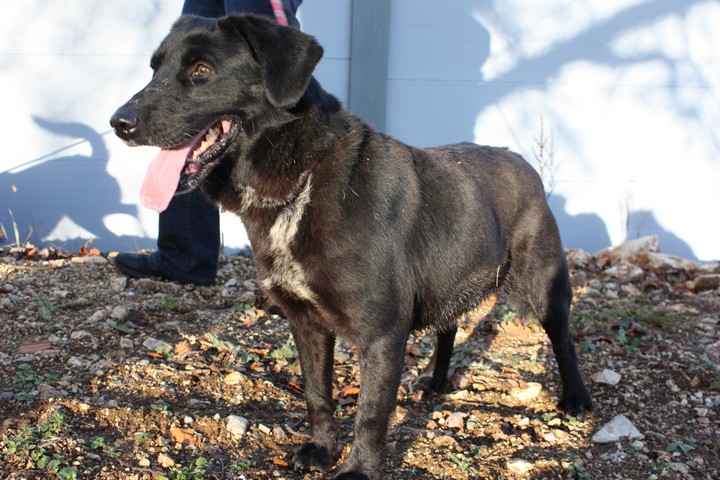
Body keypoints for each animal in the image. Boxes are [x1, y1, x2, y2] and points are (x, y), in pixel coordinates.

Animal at [111, 15, 592, 480]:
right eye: (154, 69)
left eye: (201, 71)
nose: (118, 122)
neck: (301, 182)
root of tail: (522, 161)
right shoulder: (306, 323)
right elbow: (318, 397)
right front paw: (324, 451)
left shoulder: (381, 334)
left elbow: (371, 413)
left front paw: (359, 469)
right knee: (448, 327)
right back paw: (434, 381)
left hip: (546, 288)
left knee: (563, 340)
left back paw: (575, 399)